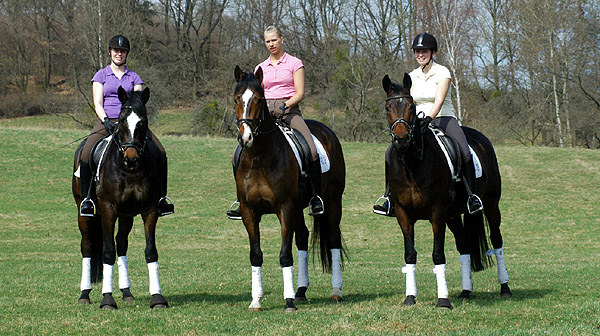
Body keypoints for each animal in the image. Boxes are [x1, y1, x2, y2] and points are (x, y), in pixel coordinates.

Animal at [74, 87, 170, 310]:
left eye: (143, 121)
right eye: (121, 120)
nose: (131, 158)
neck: (129, 171)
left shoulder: (150, 210)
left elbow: (150, 251)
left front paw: (157, 298)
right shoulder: (108, 208)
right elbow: (108, 252)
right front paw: (107, 299)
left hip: (126, 216)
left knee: (122, 244)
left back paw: (126, 292)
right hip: (85, 213)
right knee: (87, 247)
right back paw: (84, 294)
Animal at [234, 65, 346, 312]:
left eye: (258, 99)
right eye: (236, 98)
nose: (245, 137)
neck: (259, 157)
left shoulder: (284, 208)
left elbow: (285, 255)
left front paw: (288, 302)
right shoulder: (249, 211)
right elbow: (255, 255)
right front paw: (256, 300)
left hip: (333, 201)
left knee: (333, 240)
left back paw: (335, 291)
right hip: (299, 207)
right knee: (303, 237)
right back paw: (301, 291)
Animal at [382, 75, 512, 308]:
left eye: (411, 107)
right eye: (388, 108)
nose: (402, 139)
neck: (411, 164)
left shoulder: (436, 213)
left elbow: (438, 254)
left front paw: (443, 300)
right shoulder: (403, 213)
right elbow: (410, 254)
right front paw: (410, 297)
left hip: (490, 205)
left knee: (497, 241)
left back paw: (505, 287)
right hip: (453, 215)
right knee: (464, 245)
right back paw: (466, 291)